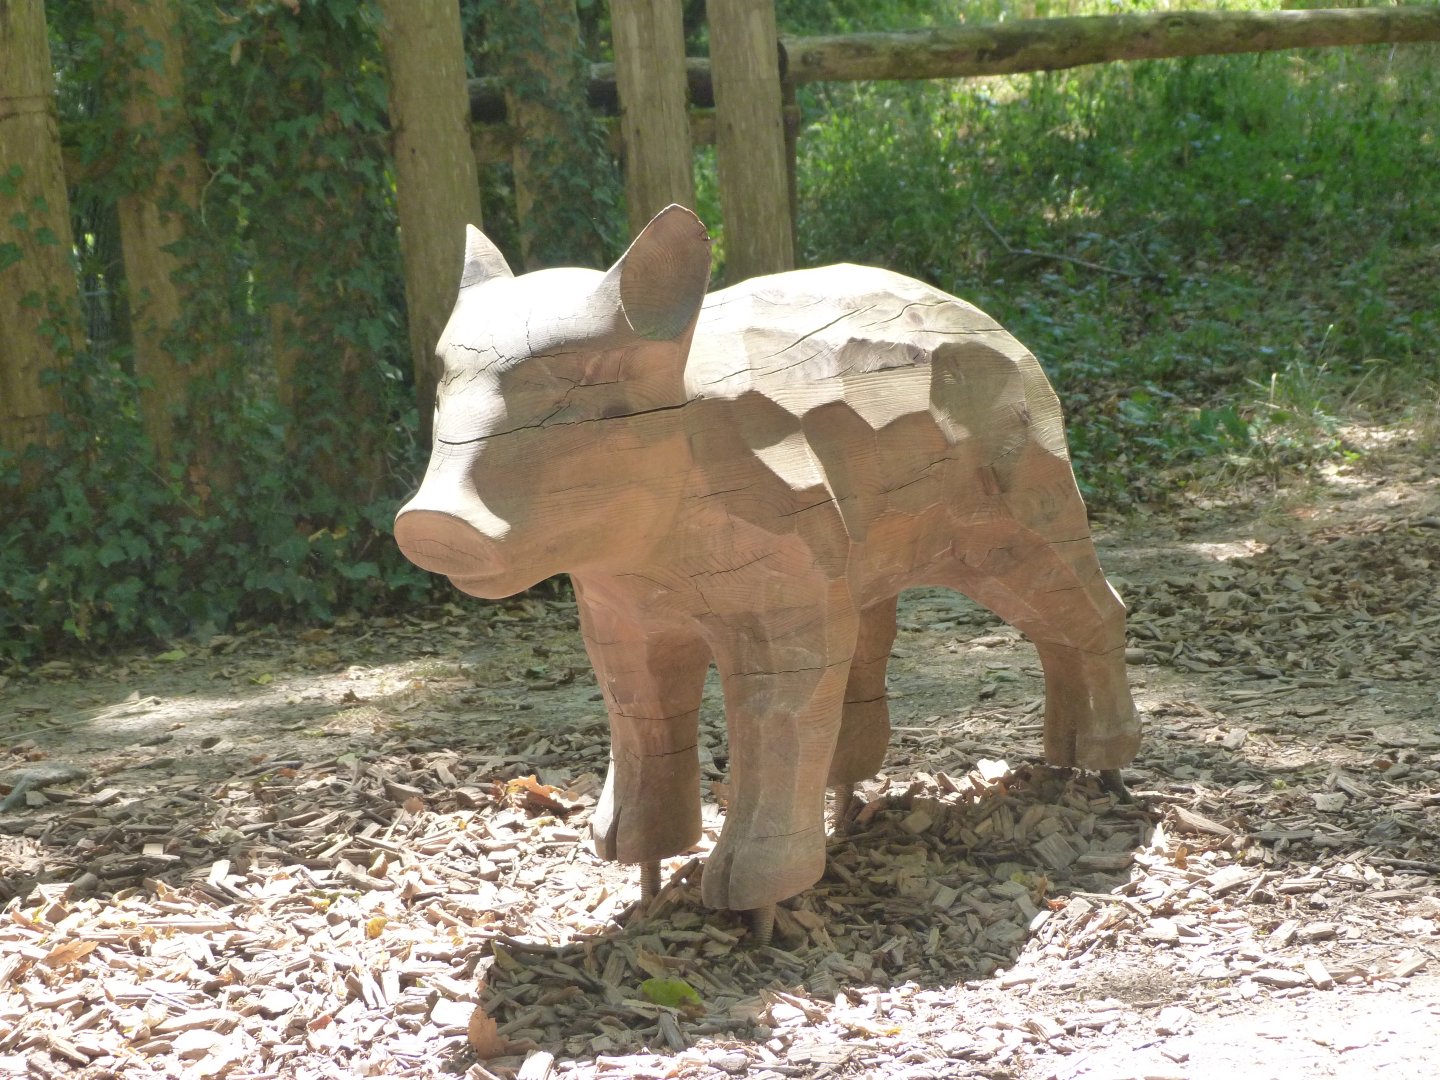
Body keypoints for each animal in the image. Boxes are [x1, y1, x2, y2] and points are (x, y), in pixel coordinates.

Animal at [395, 205, 1139, 941]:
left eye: (586, 376)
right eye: (441, 377)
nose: (430, 522)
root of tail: (1014, 342)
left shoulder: (787, 597)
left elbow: (776, 716)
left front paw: (751, 906)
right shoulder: (617, 616)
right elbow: (639, 713)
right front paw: (637, 865)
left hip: (1024, 511)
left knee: (1095, 612)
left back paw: (1103, 772)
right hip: (879, 555)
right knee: (888, 644)